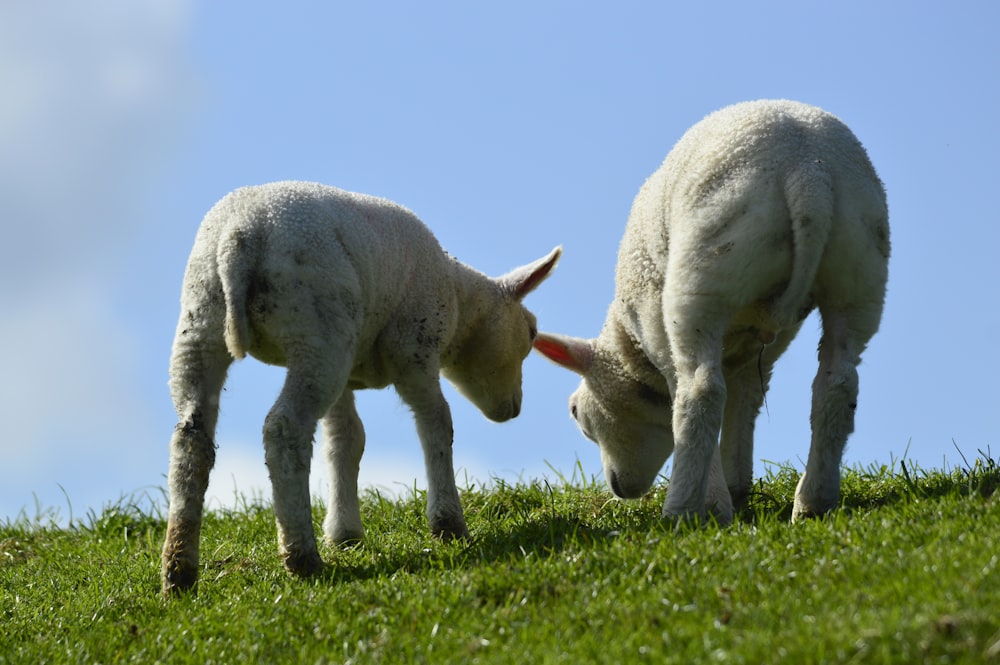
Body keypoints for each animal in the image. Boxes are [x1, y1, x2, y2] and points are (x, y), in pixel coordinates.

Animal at [160, 179, 560, 592]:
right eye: (531, 333)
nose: (514, 409)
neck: (459, 298)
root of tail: (237, 240)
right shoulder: (414, 351)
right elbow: (436, 425)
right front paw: (448, 525)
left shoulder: (348, 374)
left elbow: (346, 441)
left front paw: (344, 533)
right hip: (317, 327)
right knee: (284, 429)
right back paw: (302, 558)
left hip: (204, 322)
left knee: (192, 437)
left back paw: (179, 571)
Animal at [536, 98, 888, 524]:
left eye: (575, 412)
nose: (619, 489)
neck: (631, 347)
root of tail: (808, 173)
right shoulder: (758, 352)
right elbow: (744, 405)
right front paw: (736, 489)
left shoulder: (657, 327)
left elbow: (686, 402)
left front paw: (715, 502)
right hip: (858, 266)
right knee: (837, 384)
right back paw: (812, 503)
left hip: (705, 271)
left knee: (700, 393)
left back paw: (681, 509)